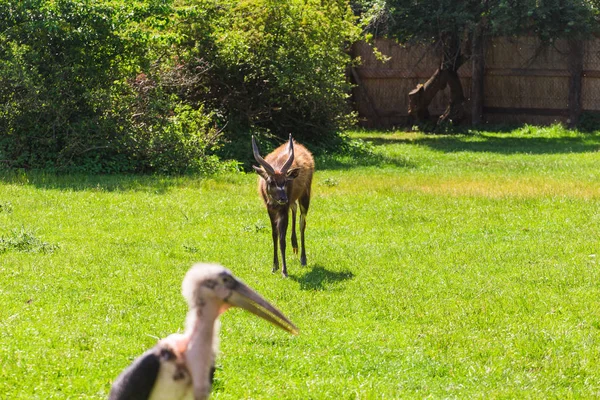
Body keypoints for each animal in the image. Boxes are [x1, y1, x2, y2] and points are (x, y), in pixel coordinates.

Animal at [252, 136, 314, 276]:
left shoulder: (283, 209)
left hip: (305, 194)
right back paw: (295, 246)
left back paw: (303, 258)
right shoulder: (270, 209)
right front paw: (274, 266)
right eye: (271, 181)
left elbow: (282, 239)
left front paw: (284, 271)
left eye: (285, 181)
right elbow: (274, 235)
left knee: (302, 222)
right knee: (294, 208)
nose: (283, 198)